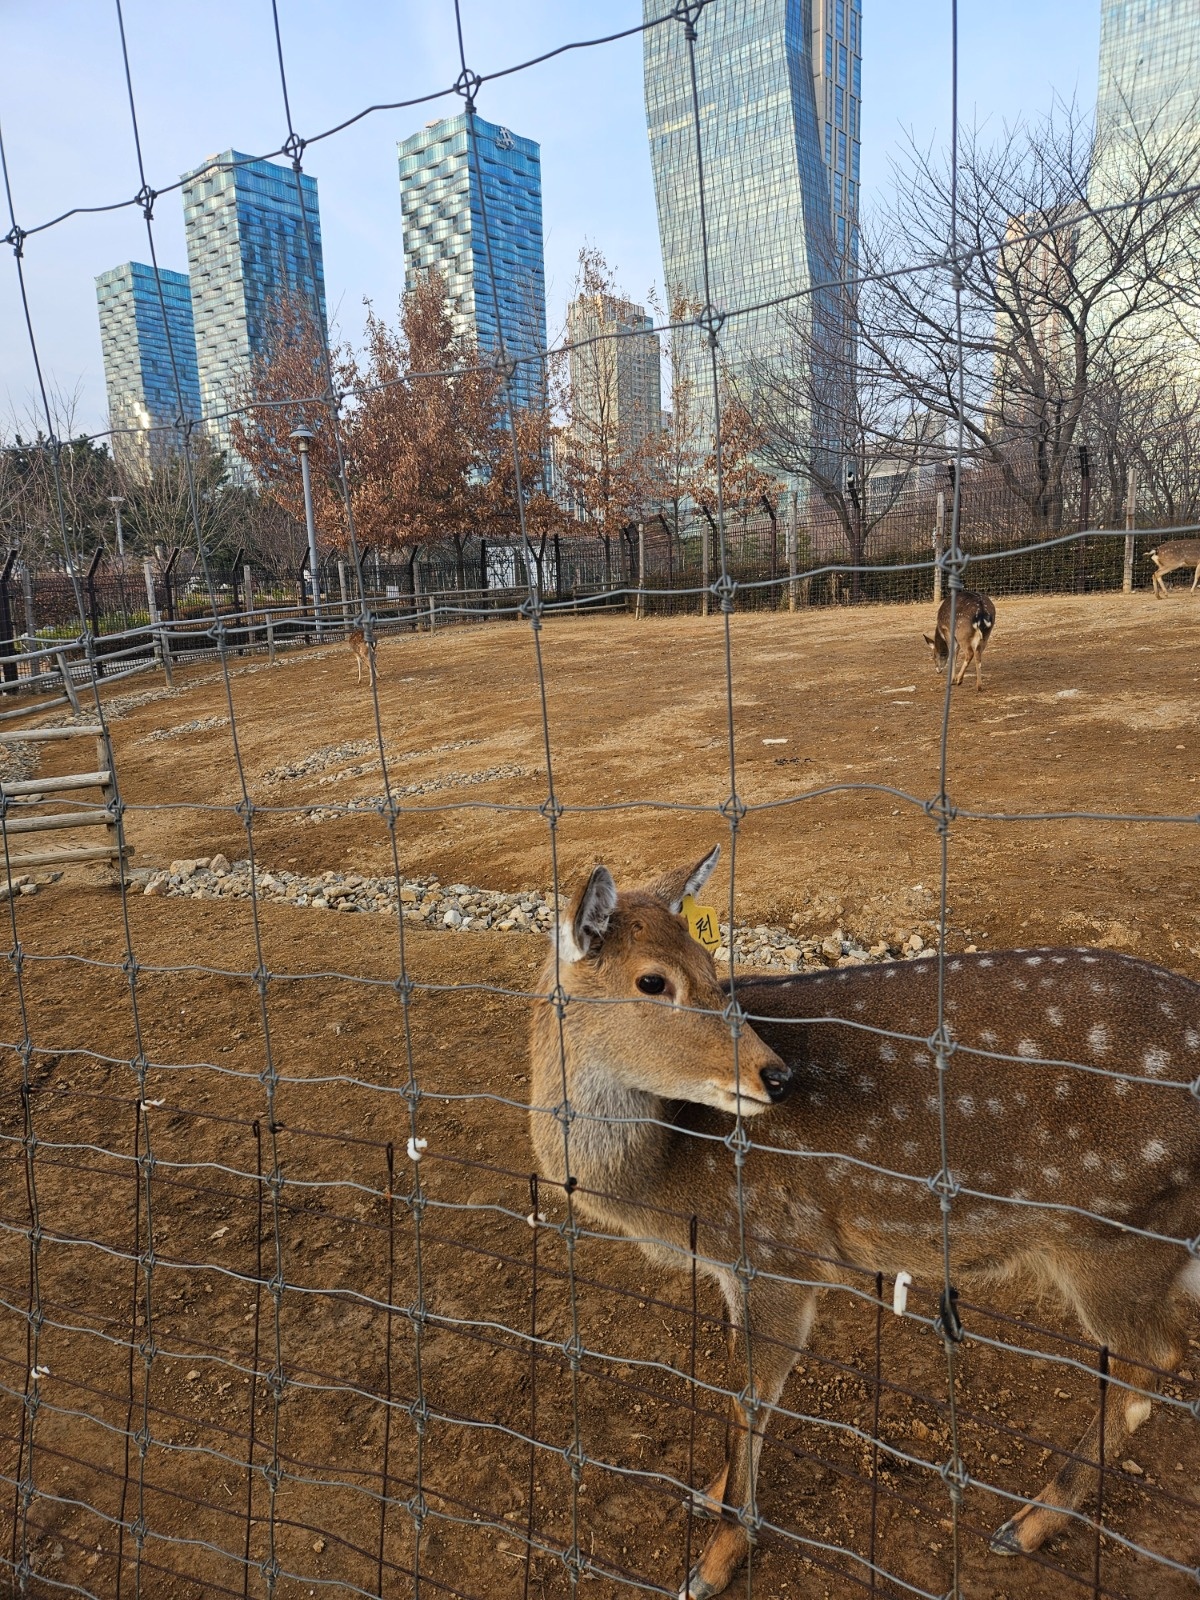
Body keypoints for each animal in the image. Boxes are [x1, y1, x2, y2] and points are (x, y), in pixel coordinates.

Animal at [534, 844, 1200, 1593]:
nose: (776, 1076)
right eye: (653, 980)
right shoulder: (739, 1268)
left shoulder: (774, 1251)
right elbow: (743, 1392)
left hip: (1118, 1236)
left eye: (712, 970)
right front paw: (710, 1491)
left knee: (1152, 1362)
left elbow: (750, 1395)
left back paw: (1025, 1524)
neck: (666, 1181)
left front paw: (716, 1558)